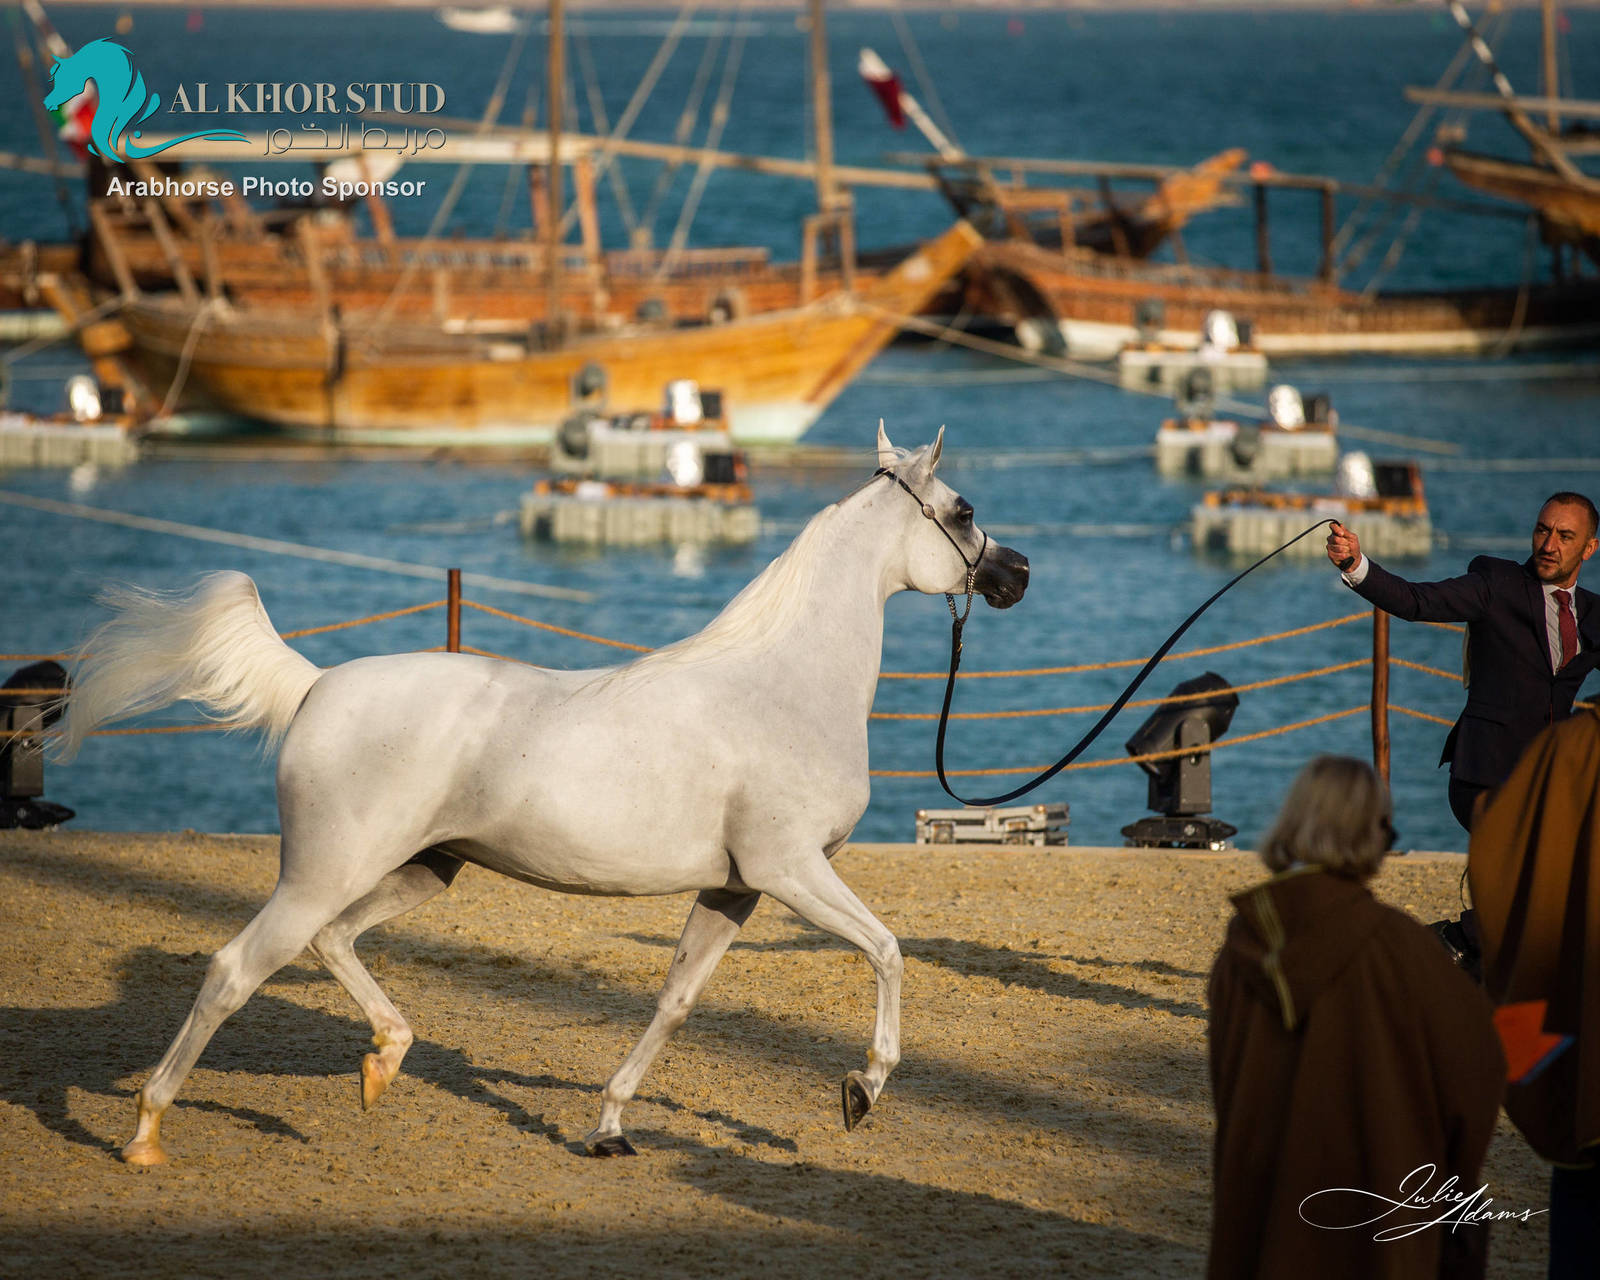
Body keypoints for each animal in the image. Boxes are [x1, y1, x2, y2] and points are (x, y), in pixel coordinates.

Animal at [57, 425, 1030, 1166]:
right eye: (964, 511)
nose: (1016, 574)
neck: (780, 683)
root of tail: (317, 685)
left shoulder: (735, 890)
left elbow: (674, 1003)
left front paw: (608, 1127)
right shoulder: (790, 872)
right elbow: (889, 952)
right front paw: (862, 1088)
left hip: (420, 870)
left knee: (333, 943)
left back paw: (383, 1064)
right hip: (322, 874)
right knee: (234, 970)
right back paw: (145, 1136)